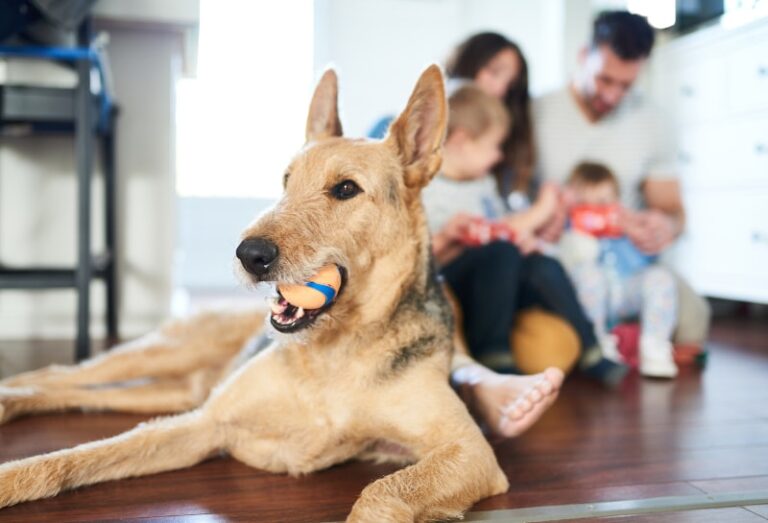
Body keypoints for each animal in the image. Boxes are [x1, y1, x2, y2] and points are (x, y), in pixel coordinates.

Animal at [0, 65, 510, 520]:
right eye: (286, 180)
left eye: (346, 188)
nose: (249, 254)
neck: (334, 353)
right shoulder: (206, 424)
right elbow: (74, 457)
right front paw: (13, 479)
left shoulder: (469, 451)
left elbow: (382, 492)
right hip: (166, 354)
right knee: (61, 373)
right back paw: (11, 394)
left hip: (178, 391)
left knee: (80, 390)